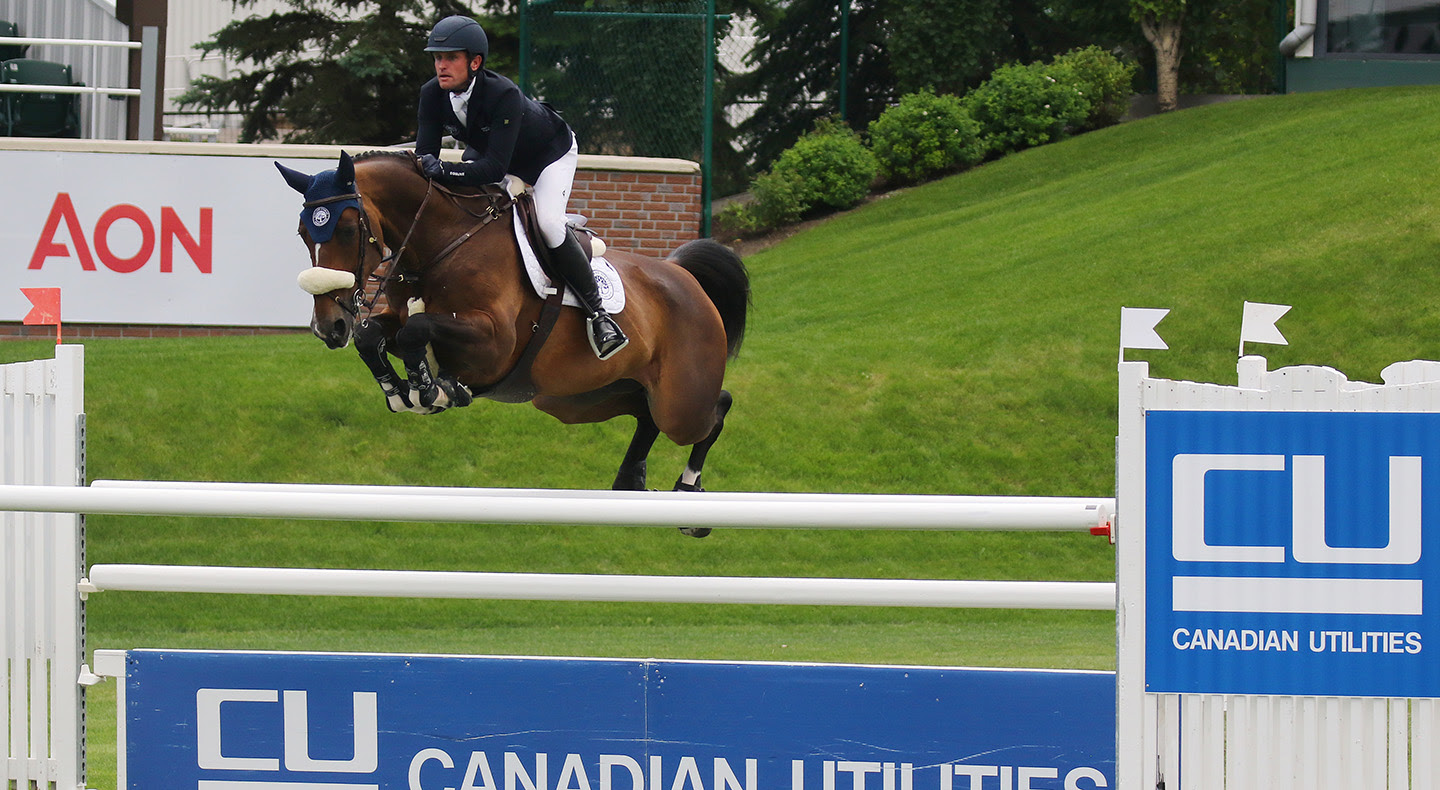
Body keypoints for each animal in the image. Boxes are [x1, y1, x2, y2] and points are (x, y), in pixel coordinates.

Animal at [275, 151, 749, 535]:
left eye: (347, 229)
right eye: (302, 233)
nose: (329, 327)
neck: (442, 242)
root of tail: (683, 276)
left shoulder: (494, 342)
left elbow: (417, 329)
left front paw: (432, 390)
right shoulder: (398, 317)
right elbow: (374, 334)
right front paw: (401, 390)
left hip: (680, 402)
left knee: (714, 408)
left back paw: (689, 497)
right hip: (579, 399)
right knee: (644, 413)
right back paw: (631, 480)